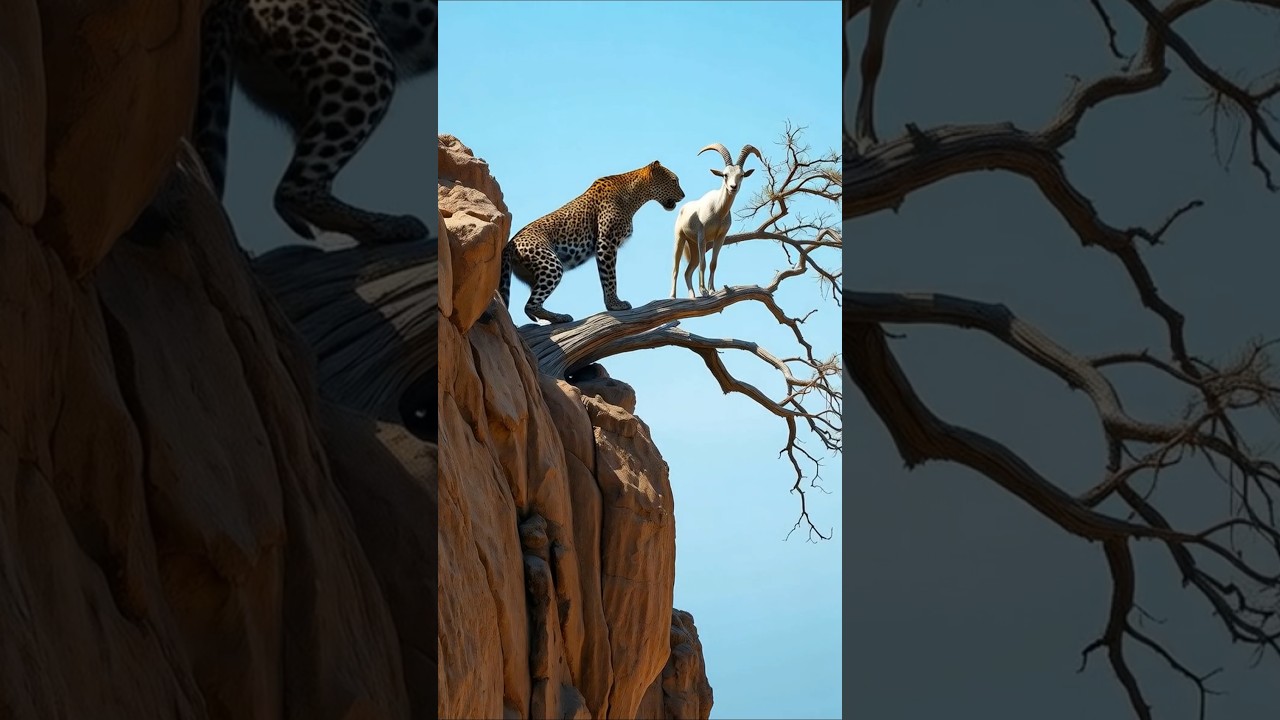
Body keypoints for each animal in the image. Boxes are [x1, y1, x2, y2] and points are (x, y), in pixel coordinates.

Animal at [498, 160, 686, 324]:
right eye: (674, 180)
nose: (683, 195)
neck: (635, 196)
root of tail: (510, 244)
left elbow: (607, 277)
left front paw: (612, 304)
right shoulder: (606, 242)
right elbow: (610, 277)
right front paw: (615, 305)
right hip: (552, 265)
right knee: (530, 305)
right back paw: (560, 317)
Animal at [669, 143, 763, 298]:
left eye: (741, 175)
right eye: (725, 175)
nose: (733, 187)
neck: (718, 211)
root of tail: (683, 208)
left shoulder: (720, 237)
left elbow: (713, 263)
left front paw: (712, 290)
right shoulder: (702, 235)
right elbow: (704, 263)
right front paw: (704, 291)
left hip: (693, 244)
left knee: (688, 271)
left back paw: (692, 296)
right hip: (680, 238)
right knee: (676, 267)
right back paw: (672, 296)